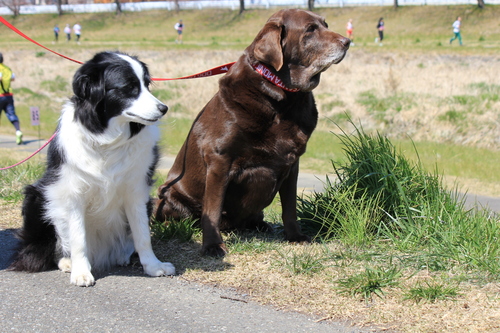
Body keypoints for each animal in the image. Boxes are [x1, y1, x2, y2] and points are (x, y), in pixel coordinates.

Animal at [8, 52, 176, 286]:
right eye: (129, 87)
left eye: (147, 84)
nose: (164, 108)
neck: (107, 140)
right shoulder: (73, 191)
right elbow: (78, 237)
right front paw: (81, 272)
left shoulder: (136, 189)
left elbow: (142, 234)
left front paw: (153, 266)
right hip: (36, 196)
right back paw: (66, 261)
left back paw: (122, 255)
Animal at [154, 9, 350, 255]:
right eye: (310, 29)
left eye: (325, 25)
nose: (348, 42)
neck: (280, 97)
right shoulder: (219, 159)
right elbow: (213, 209)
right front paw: (212, 245)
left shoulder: (292, 163)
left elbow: (290, 208)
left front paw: (295, 236)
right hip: (168, 193)